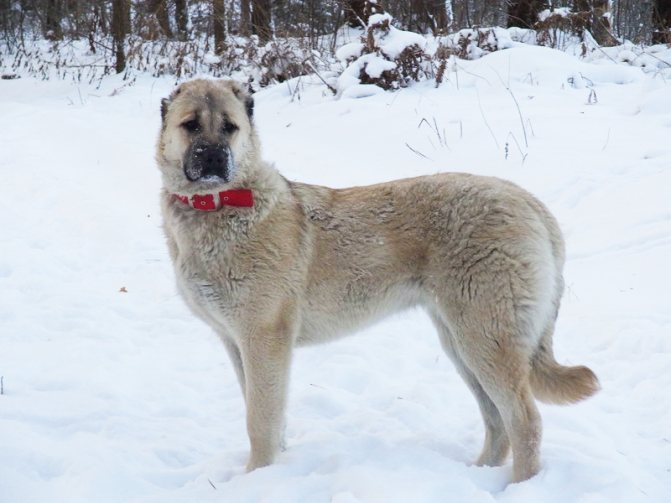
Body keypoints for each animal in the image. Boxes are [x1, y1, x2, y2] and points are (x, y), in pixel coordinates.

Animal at [156, 78, 600, 480]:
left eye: (229, 127)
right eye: (191, 125)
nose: (215, 158)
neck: (216, 208)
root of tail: (528, 201)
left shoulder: (263, 339)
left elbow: (259, 421)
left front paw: (258, 480)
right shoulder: (237, 342)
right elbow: (269, 416)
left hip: (486, 339)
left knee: (525, 421)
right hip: (461, 342)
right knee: (497, 422)